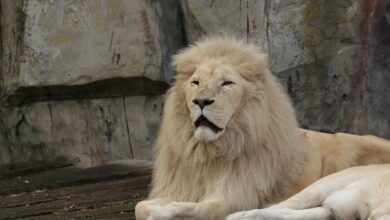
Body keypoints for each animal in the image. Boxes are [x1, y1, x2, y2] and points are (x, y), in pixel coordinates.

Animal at [136, 37, 390, 219]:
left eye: (226, 83)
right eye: (195, 83)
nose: (201, 101)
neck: (209, 152)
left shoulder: (234, 195)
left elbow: (198, 208)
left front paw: (165, 212)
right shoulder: (178, 188)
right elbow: (141, 206)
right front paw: (157, 210)